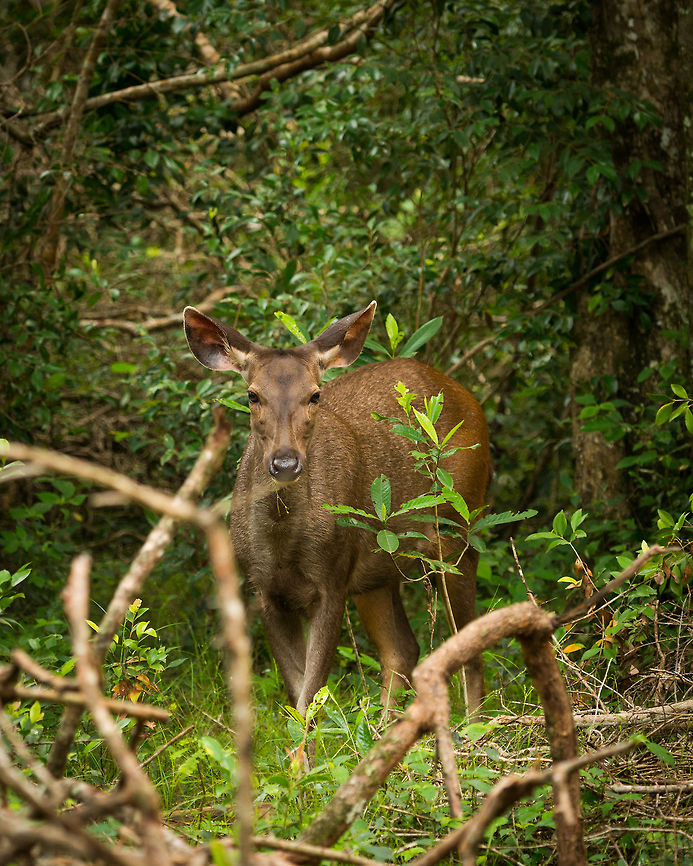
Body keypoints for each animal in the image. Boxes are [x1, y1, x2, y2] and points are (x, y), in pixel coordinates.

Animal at [183, 301, 490, 719]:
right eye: (252, 395)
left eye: (315, 395)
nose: (285, 462)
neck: (283, 542)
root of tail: (470, 398)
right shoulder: (264, 589)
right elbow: (297, 697)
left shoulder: (331, 578)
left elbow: (311, 695)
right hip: (377, 570)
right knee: (402, 649)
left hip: (460, 529)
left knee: (469, 646)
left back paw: (474, 729)